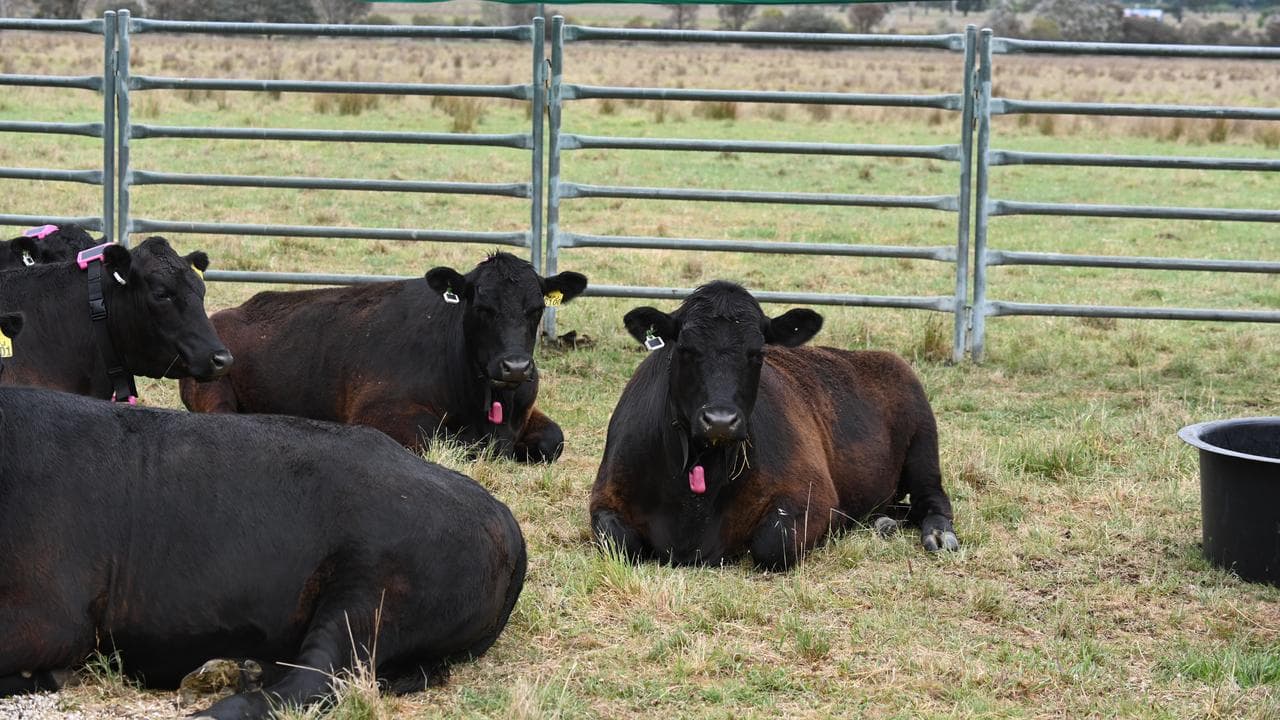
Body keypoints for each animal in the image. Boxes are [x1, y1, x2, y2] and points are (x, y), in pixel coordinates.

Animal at [180, 252, 587, 462]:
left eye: (536, 309)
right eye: (481, 306)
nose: (515, 366)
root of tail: (228, 312)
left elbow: (553, 439)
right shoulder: (379, 414)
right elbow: (430, 440)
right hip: (212, 391)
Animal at [589, 281, 960, 571]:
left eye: (757, 353)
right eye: (685, 348)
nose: (720, 421)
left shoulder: (814, 495)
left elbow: (772, 544)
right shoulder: (604, 497)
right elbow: (620, 543)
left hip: (924, 446)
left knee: (932, 499)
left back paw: (938, 534)